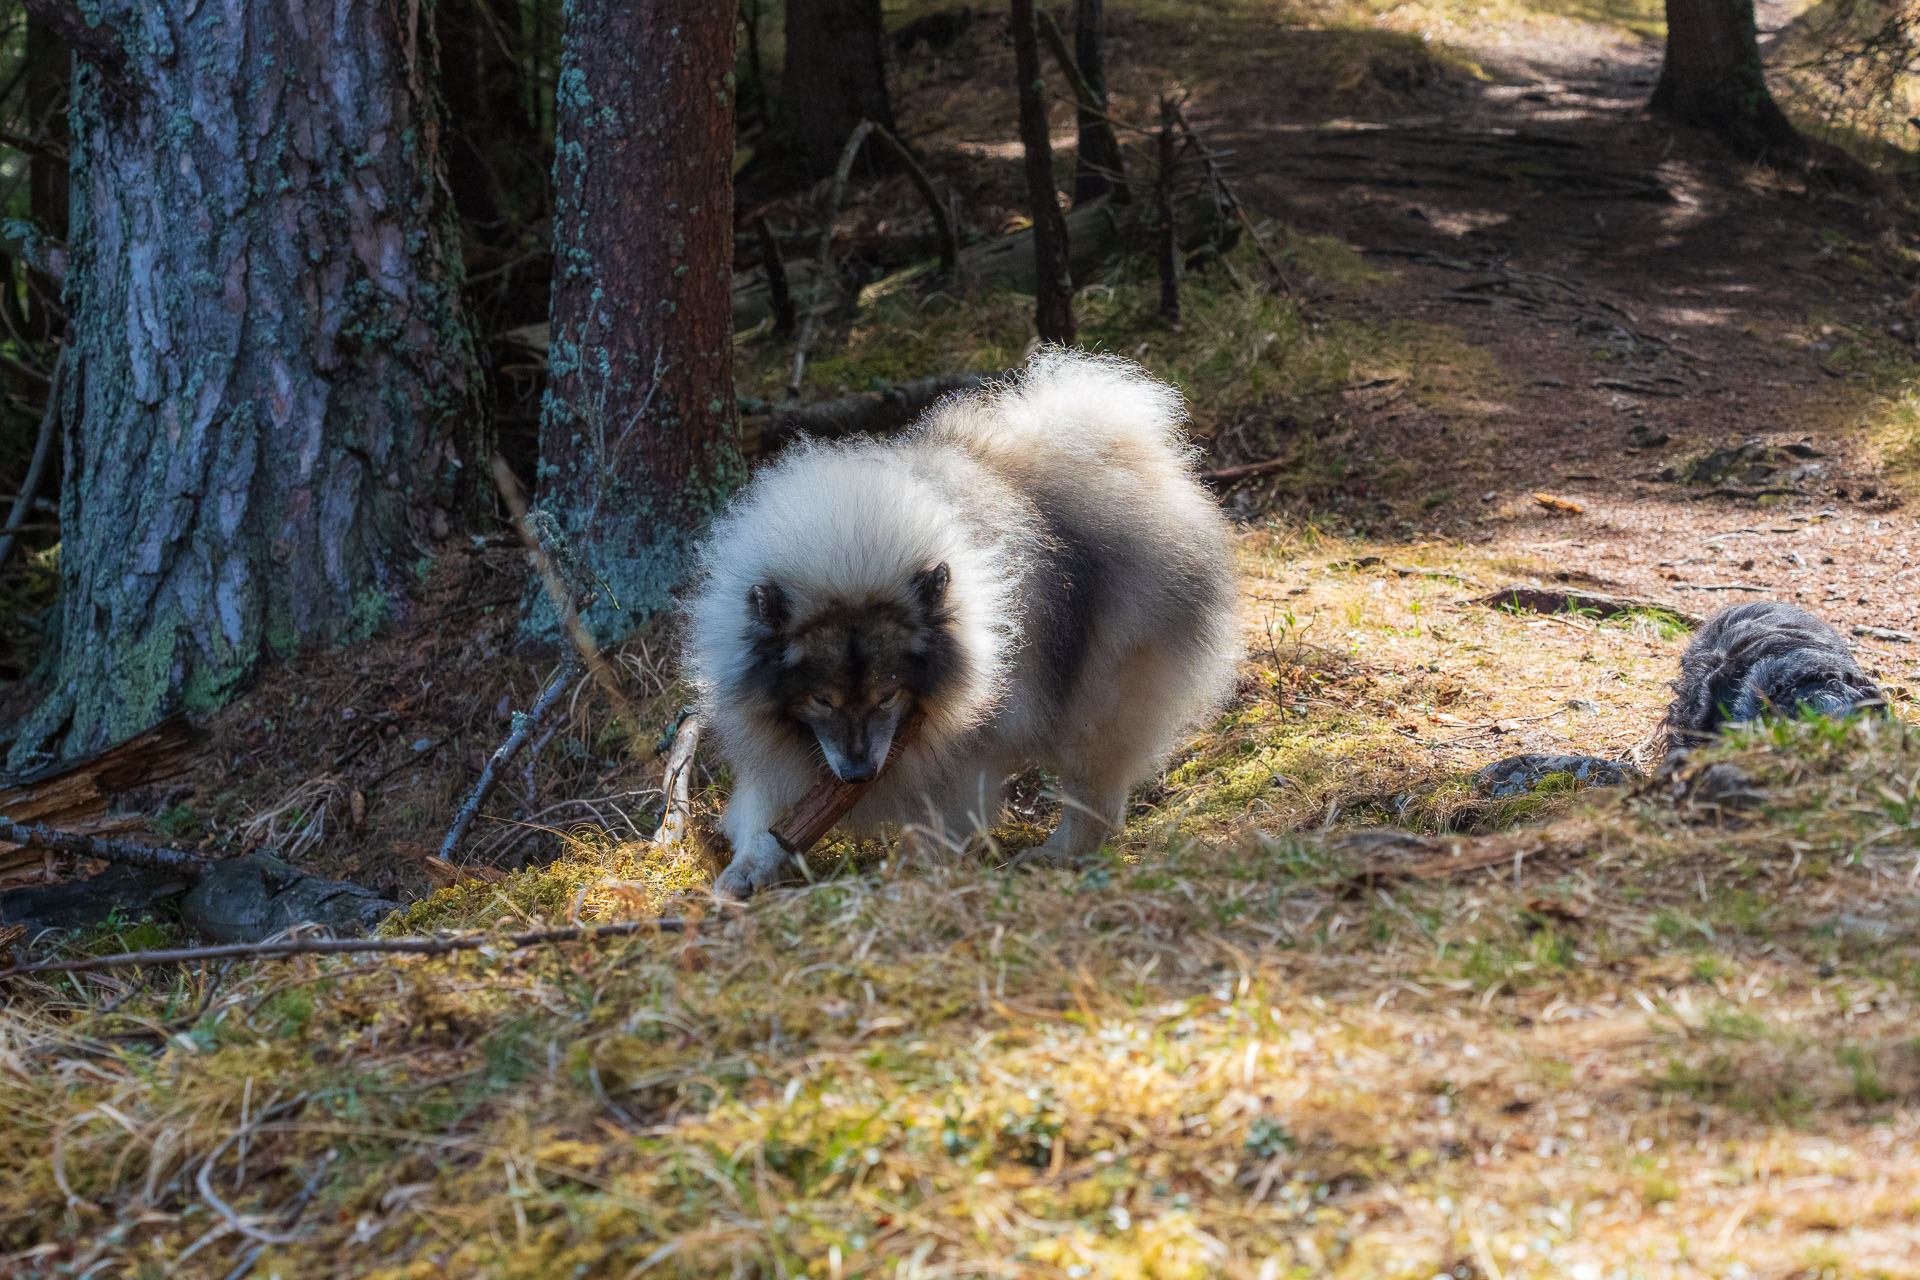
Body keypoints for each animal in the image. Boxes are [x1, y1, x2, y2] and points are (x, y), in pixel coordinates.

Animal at [691, 345, 1244, 898]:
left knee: (1096, 794)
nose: (858, 774)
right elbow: (765, 815)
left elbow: (941, 816)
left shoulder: (963, 752)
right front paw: (746, 870)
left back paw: (1058, 853)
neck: (848, 557)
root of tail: (1133, 458)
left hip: (1099, 697)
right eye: (821, 700)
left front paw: (913, 875)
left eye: (888, 696)